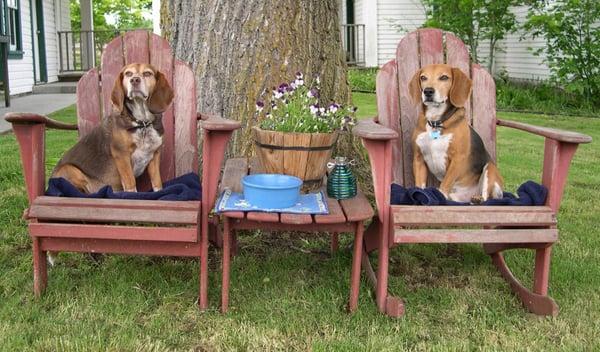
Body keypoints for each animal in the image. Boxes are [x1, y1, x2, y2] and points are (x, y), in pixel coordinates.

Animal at [51, 64, 175, 195]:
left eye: (147, 73)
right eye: (128, 74)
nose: (134, 80)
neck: (142, 123)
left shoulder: (154, 155)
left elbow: (157, 182)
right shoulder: (122, 155)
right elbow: (130, 183)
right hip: (69, 169)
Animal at [410, 62, 504, 201]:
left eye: (444, 77)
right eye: (423, 78)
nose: (428, 91)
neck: (436, 122)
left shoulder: (457, 159)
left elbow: (445, 184)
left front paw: (439, 196)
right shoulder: (418, 158)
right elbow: (419, 186)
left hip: (490, 169)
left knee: (487, 197)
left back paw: (478, 199)